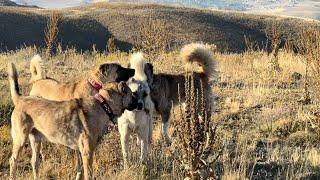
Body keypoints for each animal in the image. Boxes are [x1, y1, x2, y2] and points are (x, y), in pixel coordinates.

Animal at [8, 62, 138, 179]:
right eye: (132, 94)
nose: (140, 102)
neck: (103, 104)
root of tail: (21, 99)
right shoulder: (87, 153)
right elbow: (87, 174)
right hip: (20, 139)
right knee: (13, 160)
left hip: (36, 140)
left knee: (34, 161)